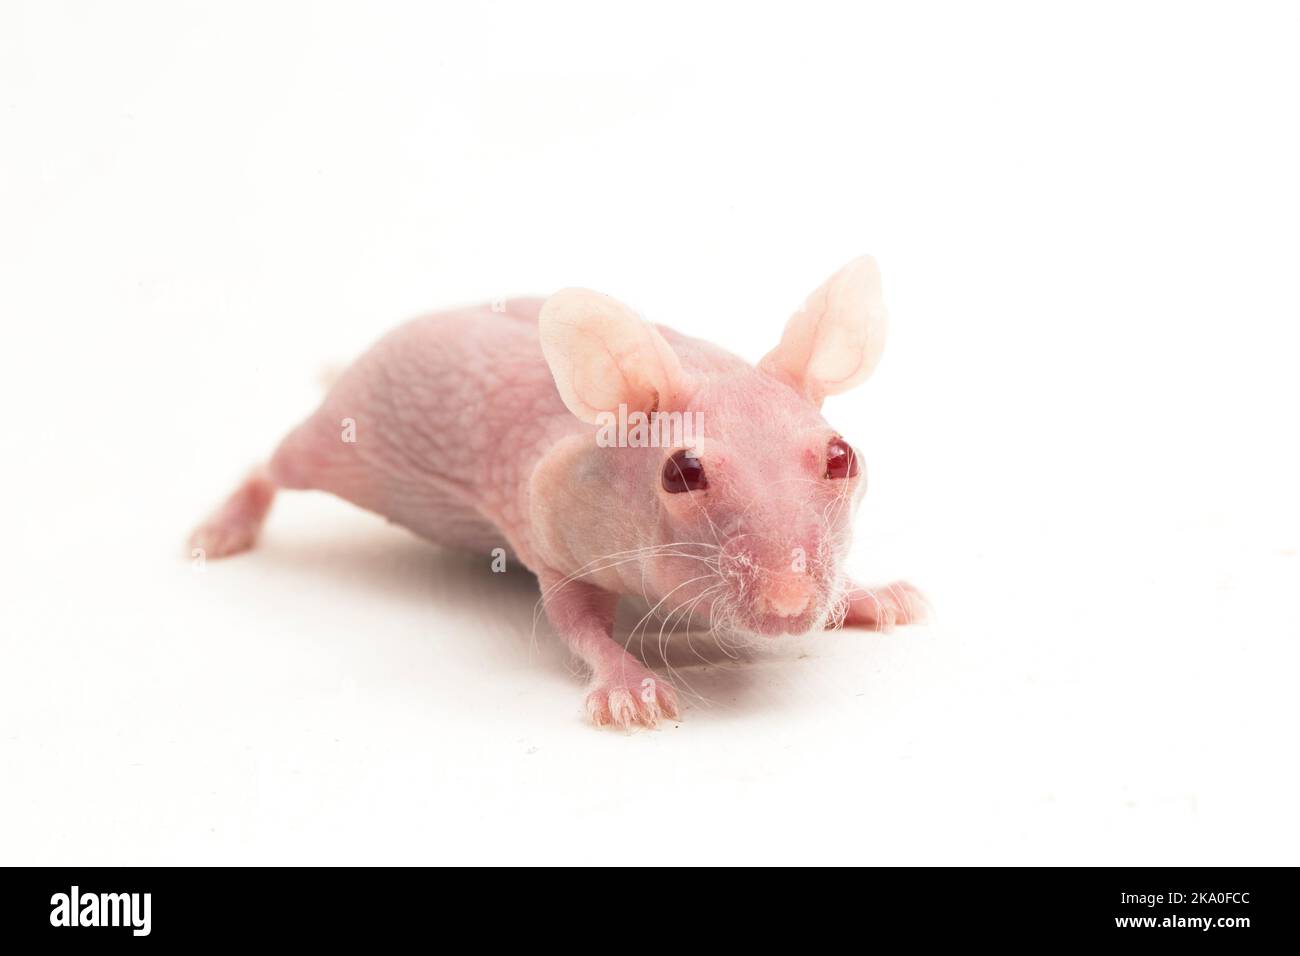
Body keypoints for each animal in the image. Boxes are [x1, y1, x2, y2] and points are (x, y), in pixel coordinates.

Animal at [189, 256, 926, 729]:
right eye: (682, 473)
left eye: (841, 457)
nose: (789, 605)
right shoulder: (553, 525)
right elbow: (574, 621)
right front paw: (632, 689)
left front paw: (874, 594)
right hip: (345, 436)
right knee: (275, 464)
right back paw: (222, 527)